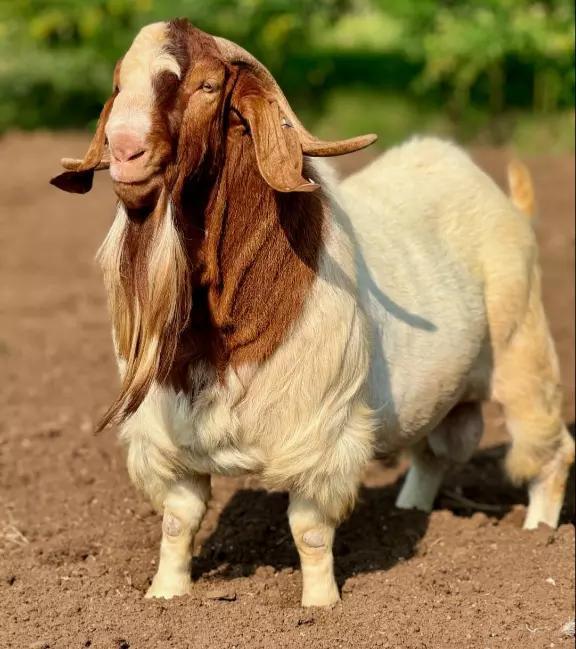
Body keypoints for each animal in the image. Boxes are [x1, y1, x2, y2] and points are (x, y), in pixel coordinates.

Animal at [51, 19, 574, 606]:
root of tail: (508, 204)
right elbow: (178, 520)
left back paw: (538, 532)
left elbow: (310, 531)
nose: (124, 150)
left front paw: (321, 605)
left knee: (551, 451)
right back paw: (411, 508)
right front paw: (166, 596)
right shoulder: (169, 439)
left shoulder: (322, 434)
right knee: (433, 452)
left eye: (208, 86)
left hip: (524, 354)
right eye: (119, 84)